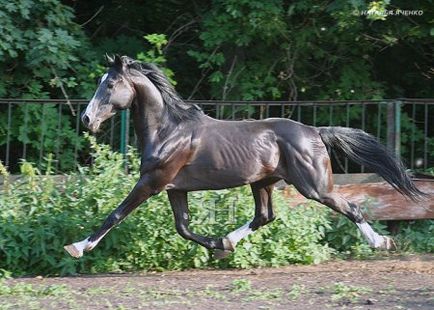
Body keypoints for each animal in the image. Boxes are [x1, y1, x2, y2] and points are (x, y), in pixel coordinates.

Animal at [63, 55, 424, 260]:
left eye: (110, 84)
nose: (86, 119)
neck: (167, 130)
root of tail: (315, 131)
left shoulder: (151, 183)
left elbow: (116, 214)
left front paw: (78, 247)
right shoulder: (175, 188)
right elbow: (183, 227)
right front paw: (219, 248)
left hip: (314, 186)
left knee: (352, 208)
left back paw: (382, 243)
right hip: (262, 182)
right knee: (264, 216)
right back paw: (228, 240)